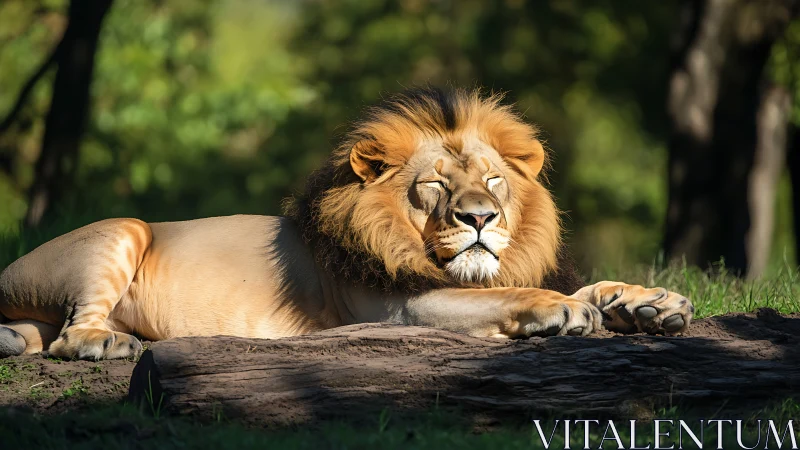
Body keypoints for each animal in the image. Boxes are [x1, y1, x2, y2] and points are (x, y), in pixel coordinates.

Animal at [0, 87, 693, 360]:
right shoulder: (401, 309)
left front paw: (650, 303)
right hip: (124, 228)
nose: (480, 218)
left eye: (493, 179)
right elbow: (515, 294)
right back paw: (106, 343)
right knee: (70, 334)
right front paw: (562, 308)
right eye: (436, 184)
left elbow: (589, 284)